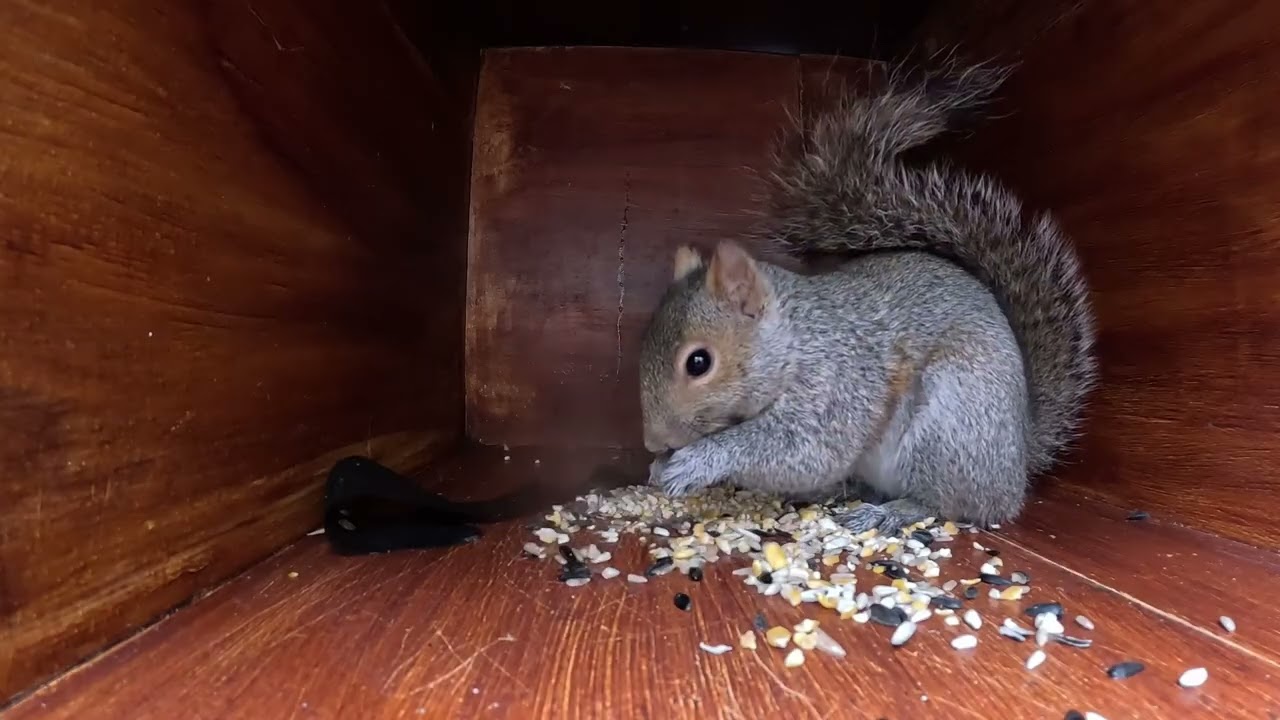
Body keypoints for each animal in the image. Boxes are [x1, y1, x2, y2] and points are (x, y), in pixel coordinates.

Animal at [637, 55, 1098, 534]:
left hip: (949, 427)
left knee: (948, 504)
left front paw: (695, 461)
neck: (796, 339)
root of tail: (1017, 465)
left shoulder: (837, 386)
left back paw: (888, 513)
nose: (653, 441)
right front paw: (660, 466)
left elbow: (800, 450)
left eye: (699, 363)